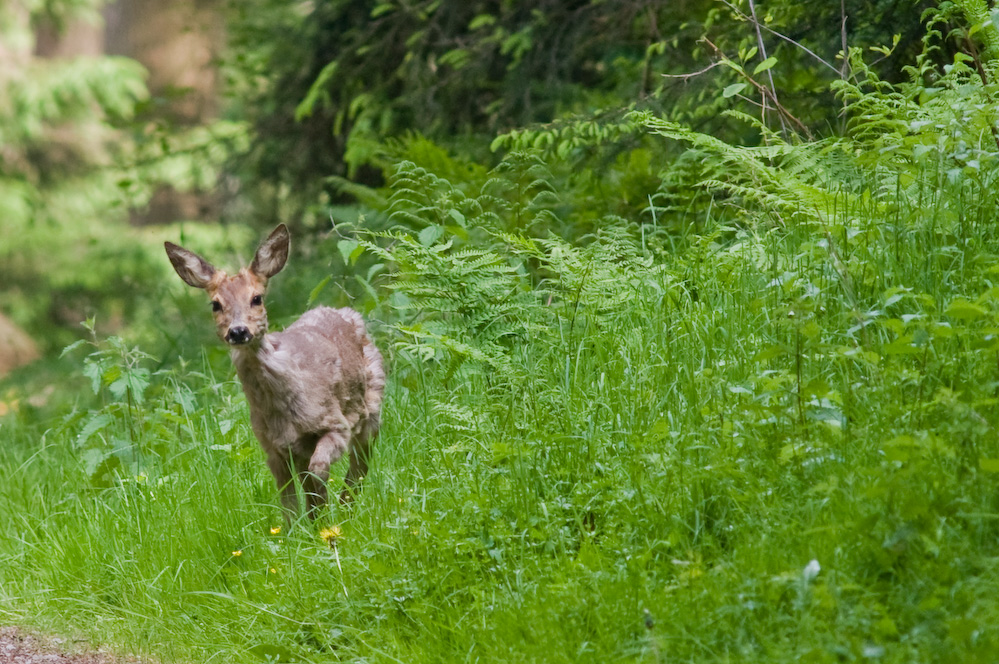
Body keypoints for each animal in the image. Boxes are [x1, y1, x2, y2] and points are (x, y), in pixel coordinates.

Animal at [164, 226, 386, 520]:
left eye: (256, 298)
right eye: (215, 304)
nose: (238, 331)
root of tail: (345, 311)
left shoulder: (336, 424)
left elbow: (319, 471)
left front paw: (326, 518)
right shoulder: (272, 447)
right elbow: (288, 500)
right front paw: (302, 527)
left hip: (371, 408)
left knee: (360, 463)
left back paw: (345, 509)